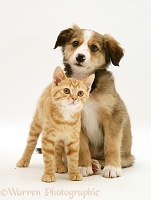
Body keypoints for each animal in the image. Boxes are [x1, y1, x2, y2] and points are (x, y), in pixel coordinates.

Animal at [54, 24, 134, 178]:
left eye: (94, 48)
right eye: (75, 43)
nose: (80, 56)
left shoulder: (113, 117)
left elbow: (111, 144)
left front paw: (112, 167)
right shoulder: (76, 121)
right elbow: (82, 147)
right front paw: (83, 166)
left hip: (127, 156)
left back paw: (98, 164)